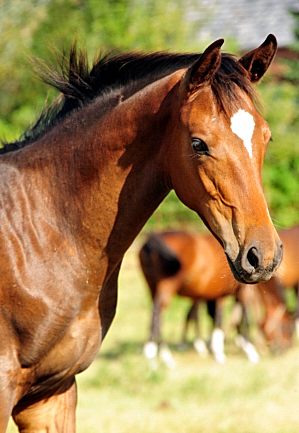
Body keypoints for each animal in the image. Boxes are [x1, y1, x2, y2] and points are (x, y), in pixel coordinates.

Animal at [140, 231, 292, 366]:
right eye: (284, 327)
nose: (285, 349)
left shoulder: (220, 296)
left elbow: (227, 319)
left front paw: (224, 347)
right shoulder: (243, 293)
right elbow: (243, 319)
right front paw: (248, 351)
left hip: (152, 287)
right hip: (166, 288)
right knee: (157, 316)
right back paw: (161, 355)